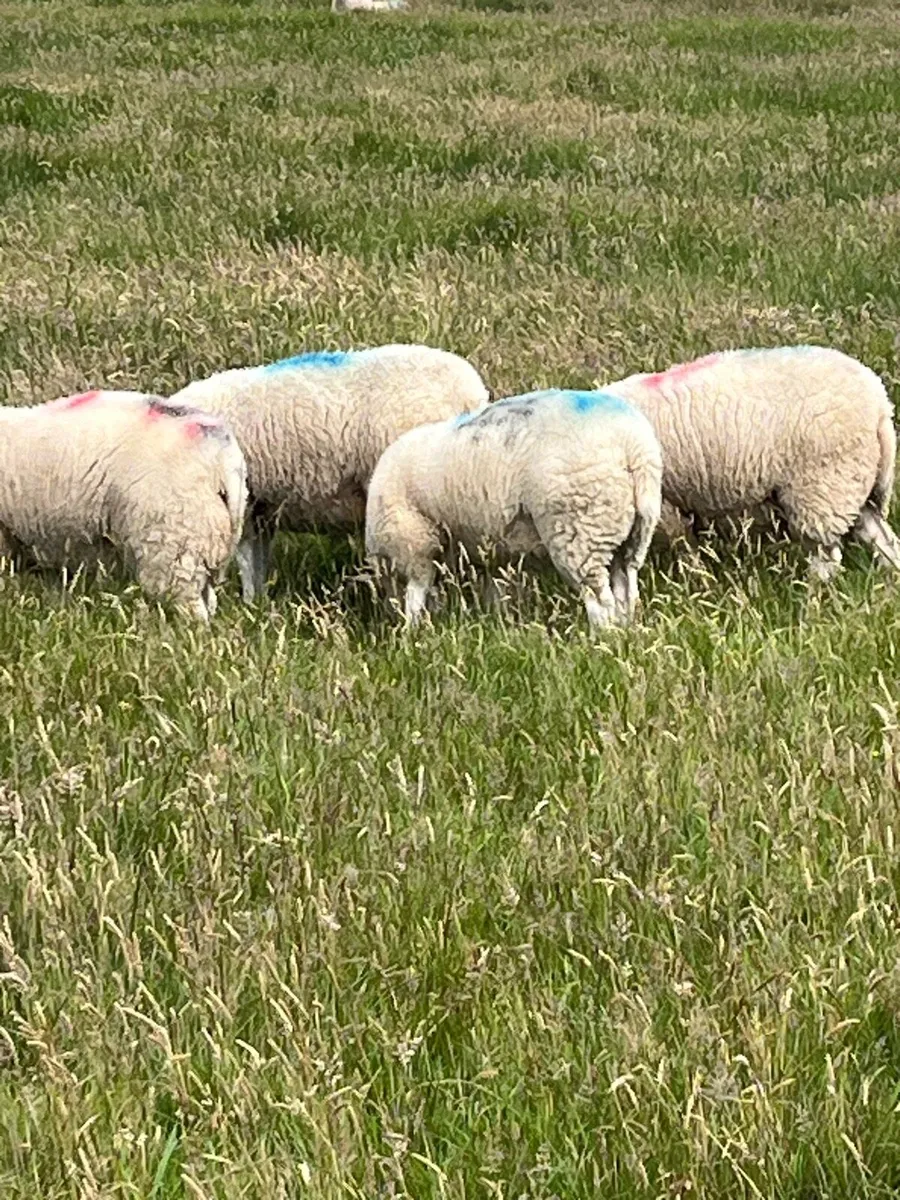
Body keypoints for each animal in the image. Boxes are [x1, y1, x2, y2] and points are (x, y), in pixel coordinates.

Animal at [169, 344, 492, 601]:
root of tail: (470, 394)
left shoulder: (245, 505)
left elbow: (247, 561)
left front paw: (248, 605)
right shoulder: (261, 508)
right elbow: (258, 560)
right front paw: (258, 605)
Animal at [365, 388, 663, 629]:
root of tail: (632, 448)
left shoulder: (414, 540)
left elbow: (416, 591)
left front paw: (411, 632)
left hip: (579, 528)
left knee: (599, 599)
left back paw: (602, 638)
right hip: (633, 531)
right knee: (626, 588)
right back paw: (626, 630)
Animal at [603, 345, 900, 581]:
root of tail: (881, 406)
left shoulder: (662, 502)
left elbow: (681, 543)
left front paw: (697, 578)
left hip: (823, 485)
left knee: (826, 557)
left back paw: (811, 600)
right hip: (854, 481)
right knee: (882, 538)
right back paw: (889, 581)